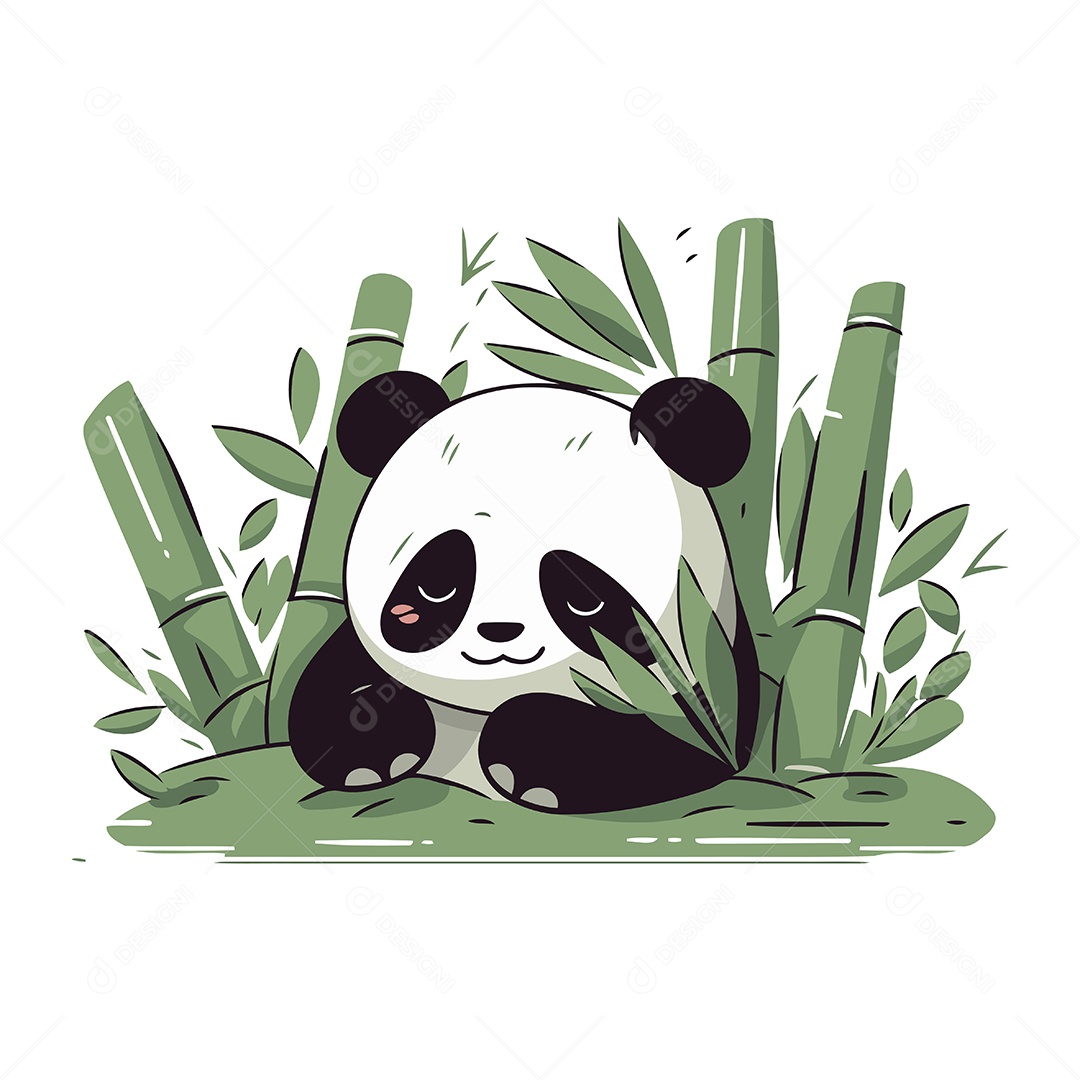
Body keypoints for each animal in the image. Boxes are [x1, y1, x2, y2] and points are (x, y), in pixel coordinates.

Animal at [288, 370, 759, 814]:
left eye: (585, 599)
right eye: (436, 585)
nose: (499, 631)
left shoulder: (716, 660)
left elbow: (688, 738)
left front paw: (531, 755)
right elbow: (329, 693)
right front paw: (376, 748)